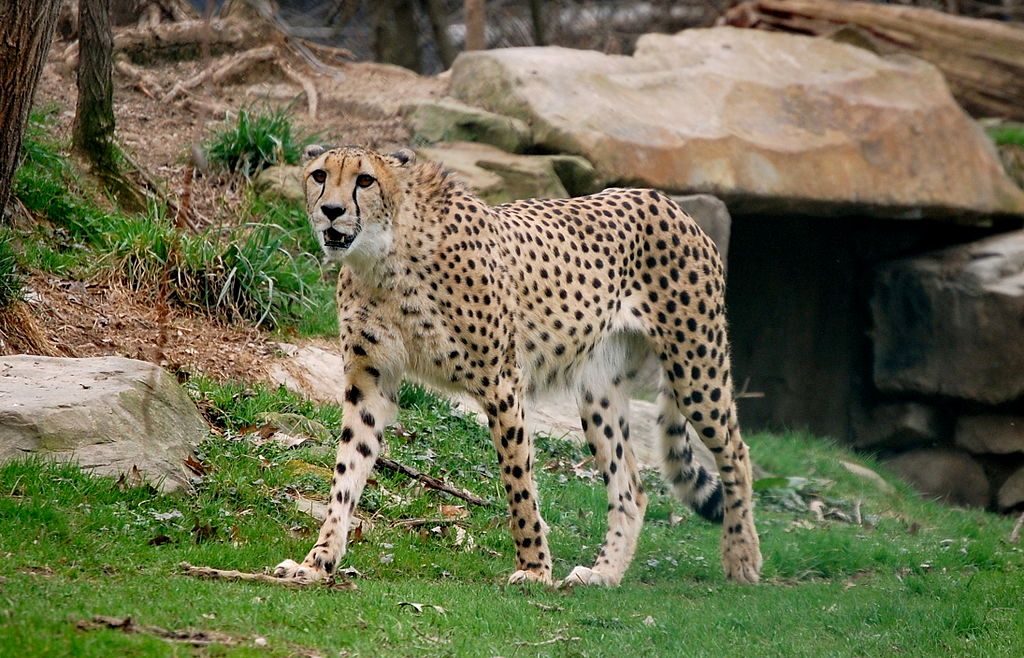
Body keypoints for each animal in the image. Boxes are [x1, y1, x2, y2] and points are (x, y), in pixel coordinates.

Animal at [272, 144, 762, 587]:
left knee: (737, 452)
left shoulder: (501, 381)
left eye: (365, 180)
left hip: (695, 367)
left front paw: (534, 568)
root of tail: (662, 199)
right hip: (598, 390)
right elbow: (346, 473)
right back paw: (604, 574)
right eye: (320, 175)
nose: (332, 211)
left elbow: (518, 479)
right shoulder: (369, 382)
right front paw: (318, 561)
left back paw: (742, 558)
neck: (383, 257)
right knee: (631, 488)